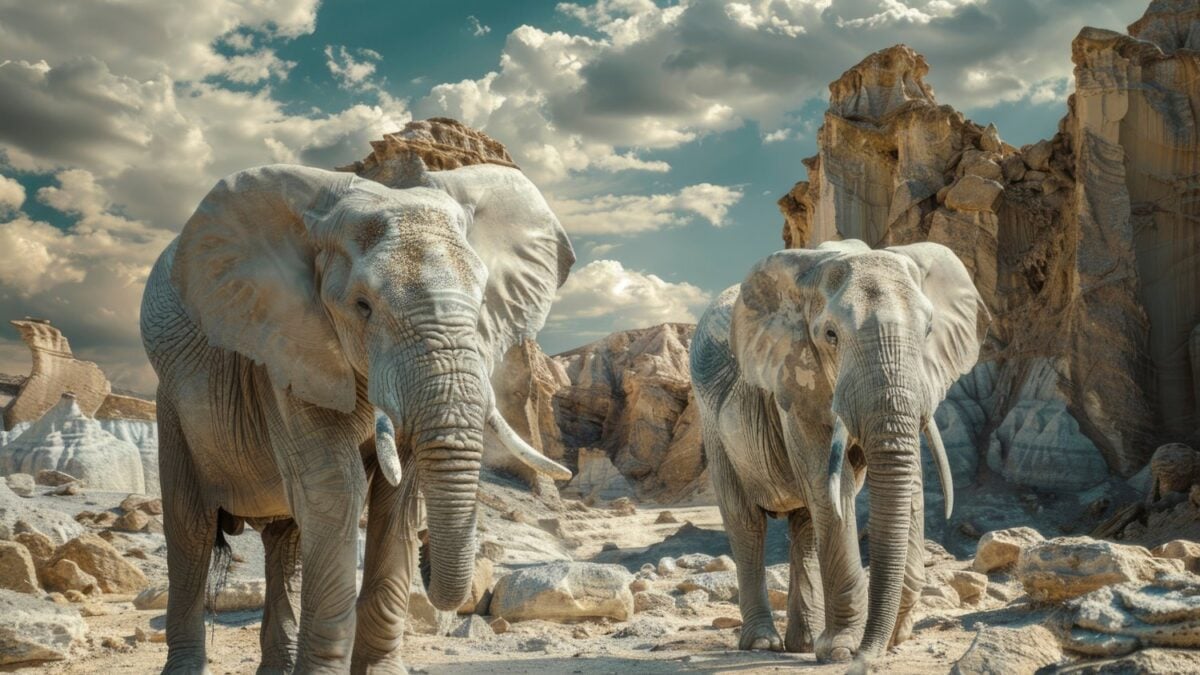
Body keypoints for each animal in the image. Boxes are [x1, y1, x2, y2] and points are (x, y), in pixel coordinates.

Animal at [140, 151, 575, 673]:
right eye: (363, 306)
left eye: (482, 303)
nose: (428, 552)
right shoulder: (286, 350)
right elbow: (336, 486)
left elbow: (400, 498)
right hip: (173, 408)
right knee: (191, 529)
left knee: (285, 541)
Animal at [689, 239, 988, 664]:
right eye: (830, 335)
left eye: (929, 330)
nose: (873, 654)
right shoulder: (795, 381)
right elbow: (829, 484)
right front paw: (843, 650)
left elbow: (907, 479)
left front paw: (887, 636)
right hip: (712, 423)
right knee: (746, 521)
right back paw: (763, 643)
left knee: (806, 527)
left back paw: (802, 644)